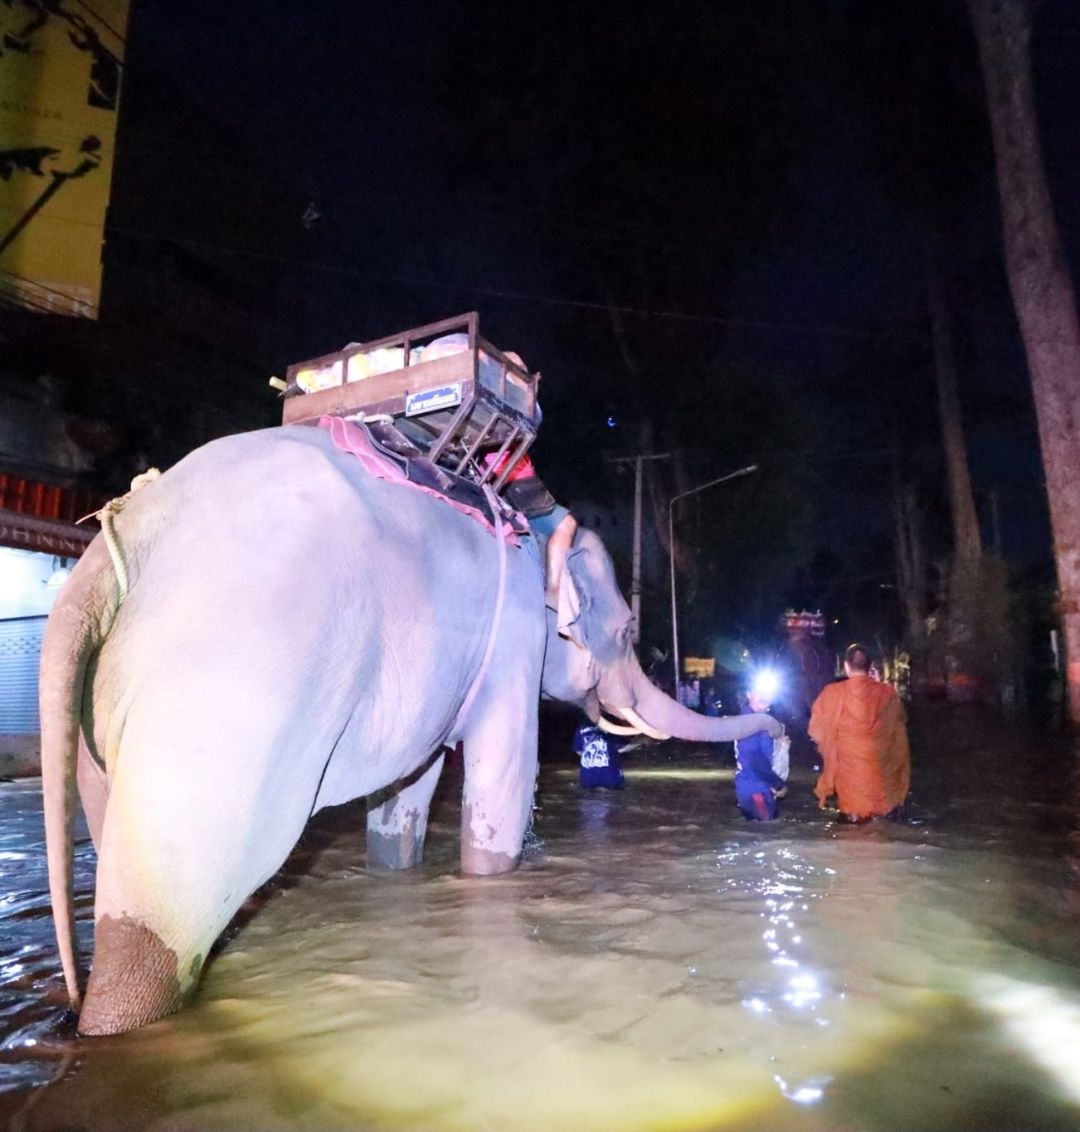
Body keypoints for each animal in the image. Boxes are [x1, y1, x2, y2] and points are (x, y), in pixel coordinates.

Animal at [42, 418, 778, 1036]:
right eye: (626, 632)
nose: (774, 729)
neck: (538, 530)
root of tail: (123, 537)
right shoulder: (514, 638)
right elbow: (504, 777)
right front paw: (491, 879)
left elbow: (409, 788)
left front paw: (396, 872)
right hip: (222, 706)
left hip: (108, 716)